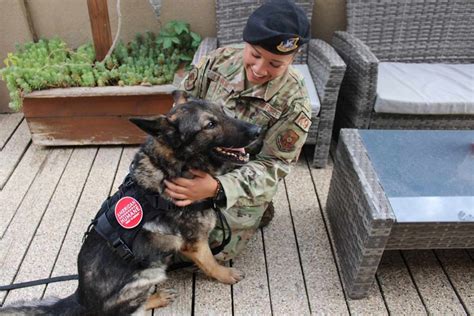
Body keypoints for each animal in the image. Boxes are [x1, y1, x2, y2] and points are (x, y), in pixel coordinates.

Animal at [0, 90, 260, 314]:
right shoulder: (195, 244)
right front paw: (226, 275)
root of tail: (81, 299)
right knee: (136, 307)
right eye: (210, 125)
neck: (174, 166)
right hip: (149, 274)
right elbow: (211, 263)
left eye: (223, 111)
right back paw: (157, 298)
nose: (258, 130)